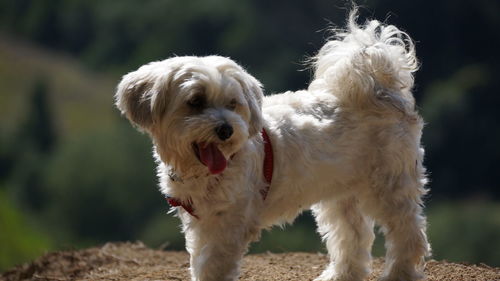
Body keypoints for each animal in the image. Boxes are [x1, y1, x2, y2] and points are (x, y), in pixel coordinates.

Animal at [113, 10, 430, 280]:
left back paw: (400, 272)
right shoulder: (202, 222)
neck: (204, 171)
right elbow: (199, 261)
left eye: (233, 103)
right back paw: (342, 274)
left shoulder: (227, 224)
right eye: (195, 101)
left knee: (408, 232)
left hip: (390, 184)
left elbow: (213, 265)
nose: (226, 129)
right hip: (341, 194)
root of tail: (381, 90)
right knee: (352, 236)